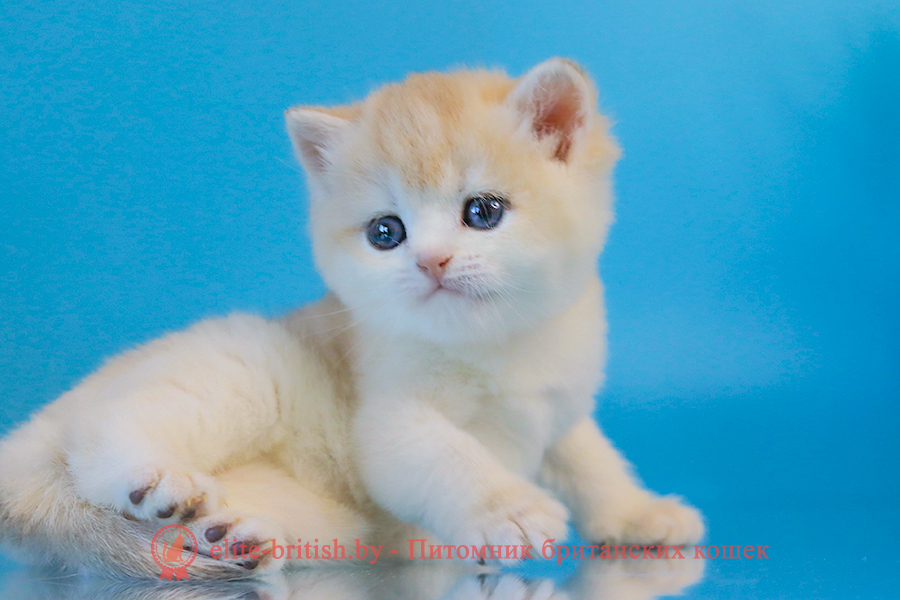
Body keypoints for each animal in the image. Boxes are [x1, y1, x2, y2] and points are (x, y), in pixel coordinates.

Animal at [0, 58, 704, 579]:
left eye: (482, 212)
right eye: (385, 232)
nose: (430, 261)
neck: (501, 344)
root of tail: (24, 443)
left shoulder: (560, 413)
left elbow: (594, 466)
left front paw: (640, 515)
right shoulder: (392, 426)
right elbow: (455, 460)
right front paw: (512, 510)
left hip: (330, 523)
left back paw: (231, 536)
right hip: (239, 368)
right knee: (103, 430)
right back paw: (154, 480)